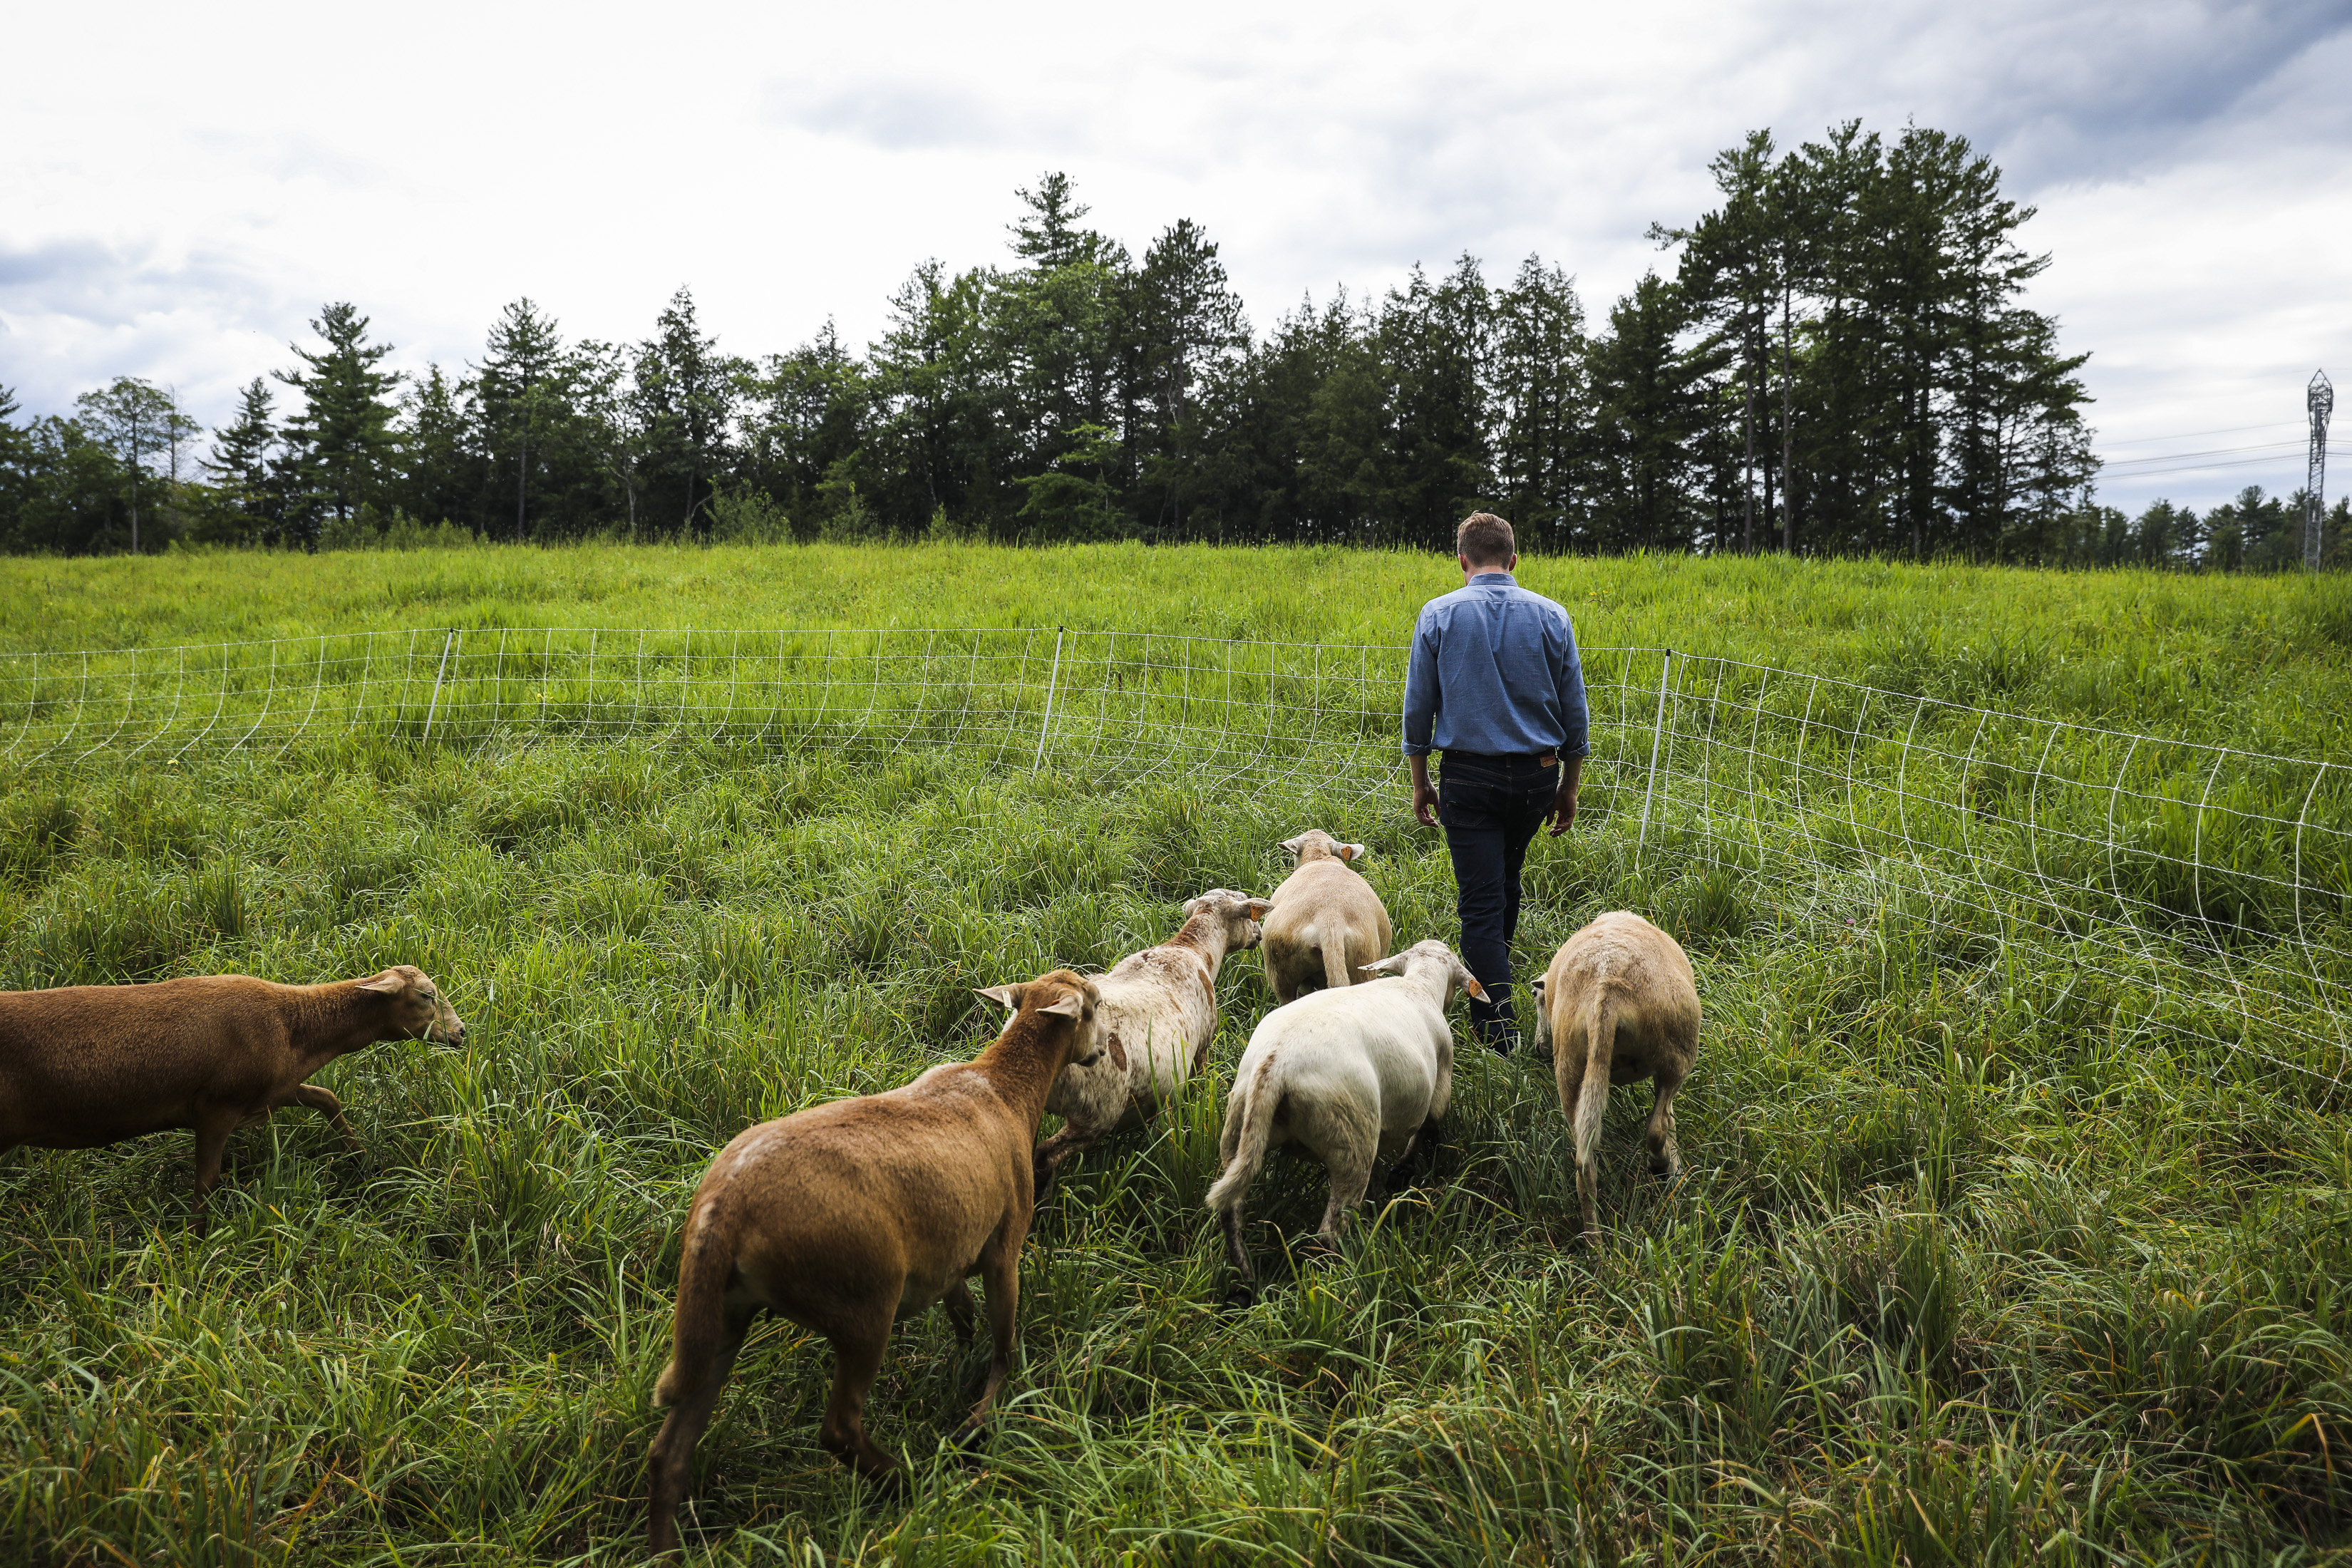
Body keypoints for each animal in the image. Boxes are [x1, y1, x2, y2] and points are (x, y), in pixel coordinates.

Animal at [0, 968, 468, 1241]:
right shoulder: (216, 1107)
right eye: (427, 996)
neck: (293, 1029)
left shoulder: (273, 1089)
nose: (462, 1032)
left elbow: (327, 1099)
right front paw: (195, 1243)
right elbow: (206, 1181)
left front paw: (364, 1161)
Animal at [644, 968, 1110, 1561]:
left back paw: (665, 1550)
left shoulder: (947, 1255)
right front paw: (983, 1417)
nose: (1101, 1051)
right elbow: (1004, 1340)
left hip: (722, 1314)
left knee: (671, 1451)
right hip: (860, 1304)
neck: (1004, 1087)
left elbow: (962, 1316)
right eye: (1094, 1004)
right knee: (839, 1429)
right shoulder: (1003, 1246)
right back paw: (912, 1483)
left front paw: (961, 1367)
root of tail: (721, 1211)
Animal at [1533, 912, 1703, 1241]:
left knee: (1584, 1165)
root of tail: (1606, 989)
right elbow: (1670, 1121)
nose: (1538, 1049)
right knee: (1657, 1128)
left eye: (1536, 999)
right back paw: (1661, 1166)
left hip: (1571, 1068)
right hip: (1677, 1051)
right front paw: (1674, 1167)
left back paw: (1595, 1244)